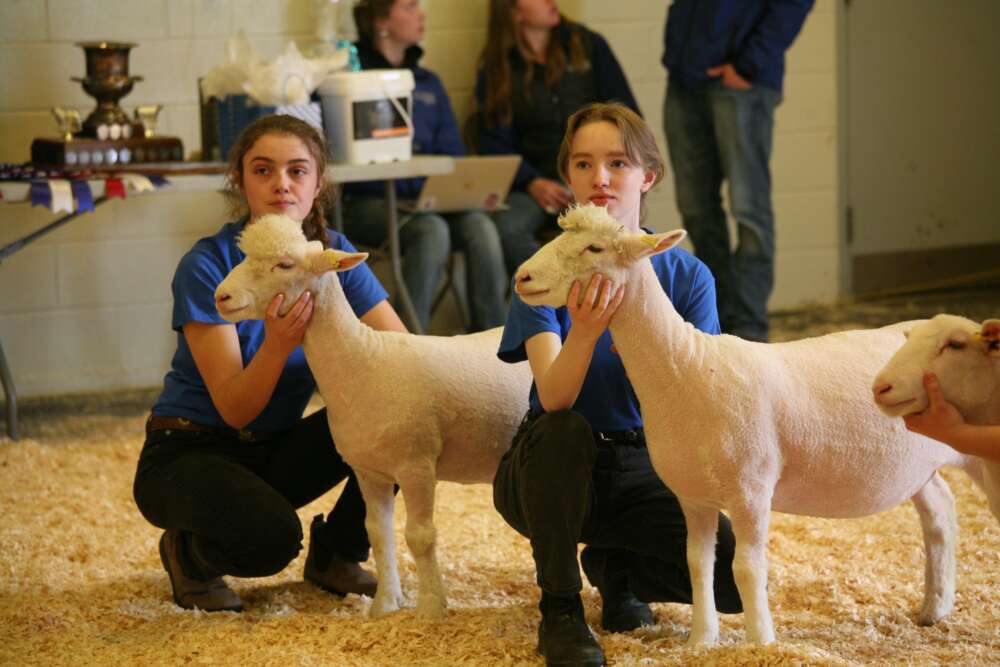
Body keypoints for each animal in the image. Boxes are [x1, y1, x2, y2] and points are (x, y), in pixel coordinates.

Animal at [213, 214, 532, 620]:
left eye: (284, 264)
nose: (221, 296)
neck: (365, 360)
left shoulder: (417, 464)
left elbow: (420, 536)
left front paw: (431, 608)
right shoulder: (368, 471)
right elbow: (378, 533)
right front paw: (384, 605)